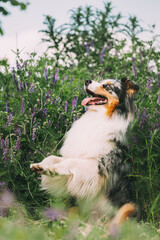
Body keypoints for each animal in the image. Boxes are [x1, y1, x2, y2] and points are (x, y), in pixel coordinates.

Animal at [30, 77, 139, 229]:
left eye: (107, 86)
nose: (87, 81)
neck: (99, 117)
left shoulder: (98, 167)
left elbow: (70, 162)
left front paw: (52, 170)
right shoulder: (75, 155)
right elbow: (53, 158)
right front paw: (41, 166)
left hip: (129, 206)